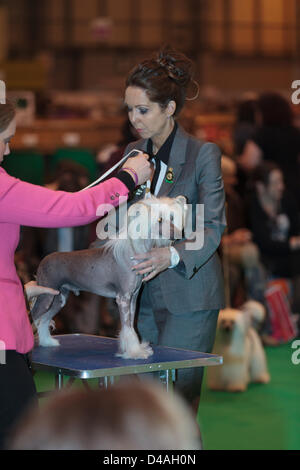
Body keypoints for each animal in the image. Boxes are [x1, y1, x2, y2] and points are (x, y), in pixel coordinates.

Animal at [30, 195, 185, 360]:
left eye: (172, 217)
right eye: (160, 220)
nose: (177, 234)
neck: (132, 253)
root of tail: (44, 260)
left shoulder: (133, 298)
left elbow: (130, 326)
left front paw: (134, 349)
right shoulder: (123, 298)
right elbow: (128, 328)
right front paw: (134, 352)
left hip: (59, 298)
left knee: (44, 320)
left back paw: (47, 342)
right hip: (46, 296)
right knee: (33, 316)